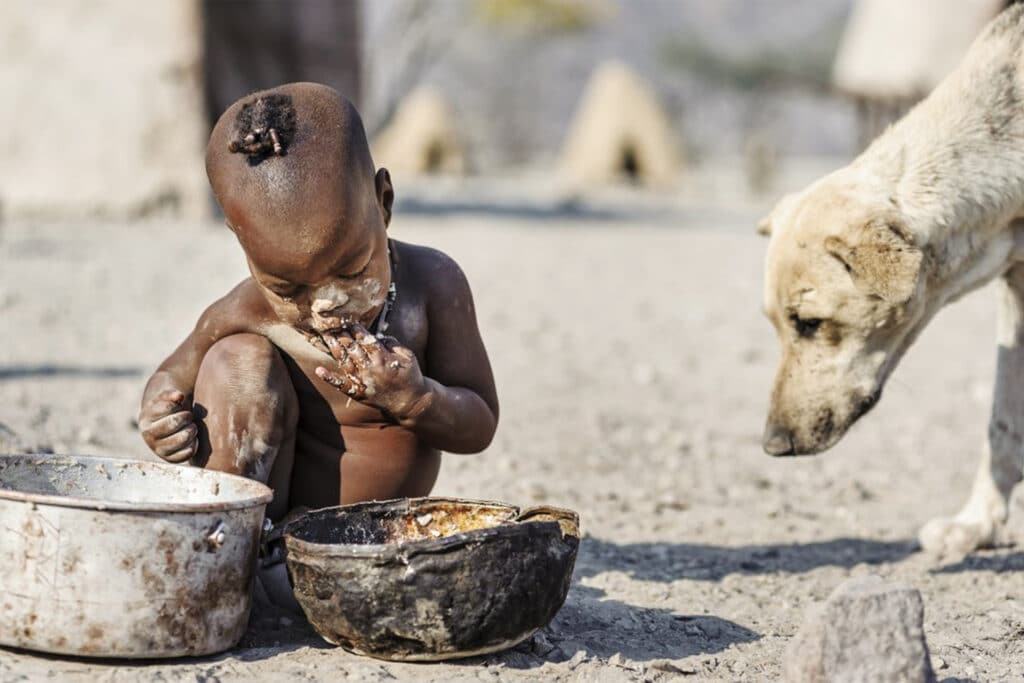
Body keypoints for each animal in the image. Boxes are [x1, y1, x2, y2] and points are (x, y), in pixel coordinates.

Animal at [765, 5, 1024, 557]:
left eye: (811, 323)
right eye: (775, 324)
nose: (773, 444)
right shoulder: (1017, 288)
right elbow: (1001, 421)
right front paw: (978, 525)